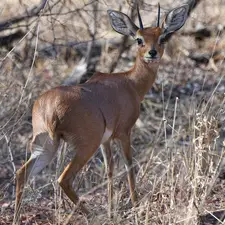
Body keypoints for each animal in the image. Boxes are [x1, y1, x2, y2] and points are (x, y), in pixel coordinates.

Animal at [13, 3, 190, 223]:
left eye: (162, 37)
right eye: (139, 39)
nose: (152, 53)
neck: (130, 83)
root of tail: (49, 107)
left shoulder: (106, 140)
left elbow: (110, 170)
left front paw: (112, 209)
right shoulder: (123, 133)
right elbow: (129, 166)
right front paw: (134, 205)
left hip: (46, 144)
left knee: (22, 173)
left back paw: (16, 217)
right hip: (85, 145)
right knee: (63, 179)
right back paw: (92, 215)